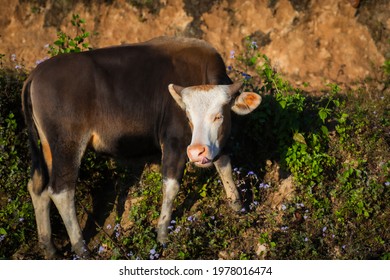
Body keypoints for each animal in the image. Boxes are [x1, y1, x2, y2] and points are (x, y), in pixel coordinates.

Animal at [20, 36, 258, 260]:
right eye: (188, 116)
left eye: (218, 115)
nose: (196, 152)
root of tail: (35, 75)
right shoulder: (173, 142)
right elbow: (171, 186)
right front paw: (162, 235)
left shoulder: (216, 144)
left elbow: (224, 165)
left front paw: (237, 207)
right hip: (68, 144)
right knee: (61, 190)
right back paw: (81, 248)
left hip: (46, 147)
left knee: (38, 187)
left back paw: (49, 248)